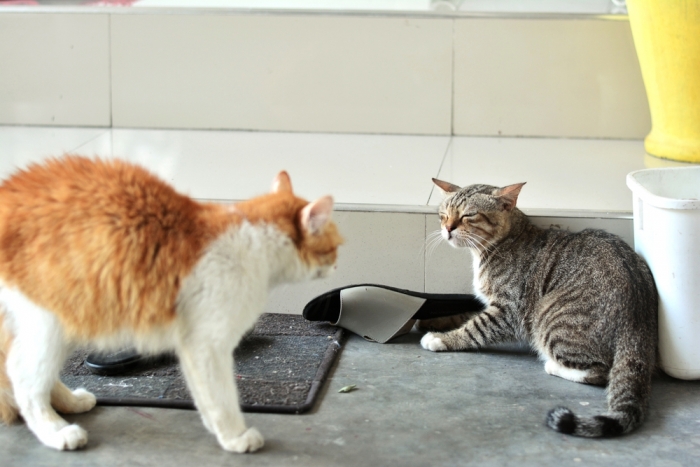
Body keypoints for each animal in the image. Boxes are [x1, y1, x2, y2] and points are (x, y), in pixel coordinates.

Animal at [0, 156, 342, 454]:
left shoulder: (192, 345)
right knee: (22, 377)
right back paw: (56, 430)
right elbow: (222, 397)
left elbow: (206, 398)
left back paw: (71, 402)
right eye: (335, 247)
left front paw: (218, 430)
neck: (252, 240)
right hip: (49, 322)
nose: (337, 265)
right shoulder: (207, 344)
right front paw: (235, 436)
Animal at [424, 177, 660, 436]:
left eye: (468, 215)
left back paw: (554, 367)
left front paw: (442, 339)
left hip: (547, 319)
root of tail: (639, 319)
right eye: (443, 215)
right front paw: (434, 321)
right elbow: (464, 314)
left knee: (599, 372)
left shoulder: (508, 311)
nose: (448, 229)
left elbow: (475, 328)